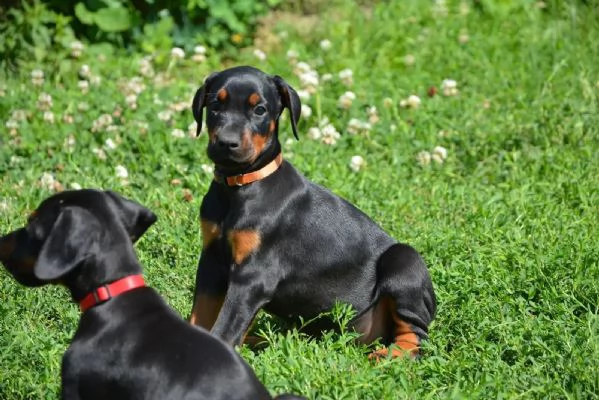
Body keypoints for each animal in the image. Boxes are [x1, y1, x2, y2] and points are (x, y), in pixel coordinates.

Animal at [190, 66, 438, 360]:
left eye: (260, 110)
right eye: (216, 105)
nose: (227, 143)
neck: (240, 185)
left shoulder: (254, 274)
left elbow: (225, 326)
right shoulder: (210, 261)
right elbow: (200, 316)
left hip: (404, 261)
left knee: (417, 335)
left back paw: (390, 356)